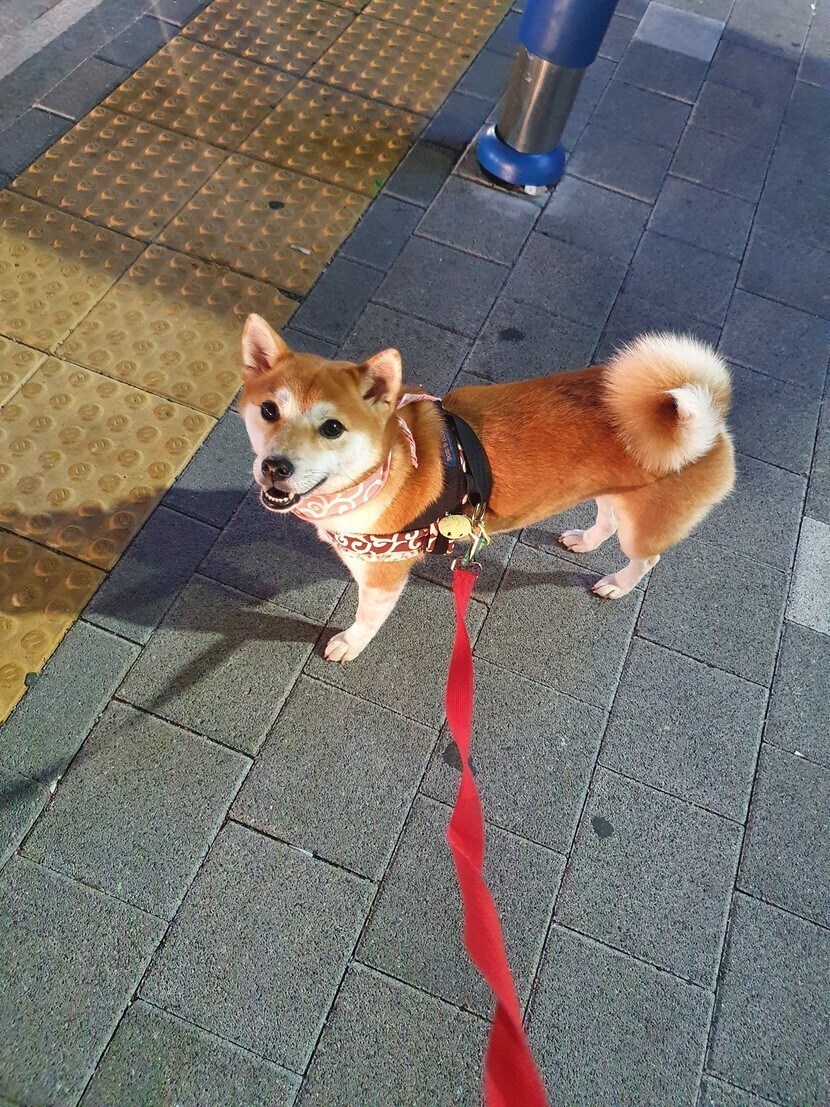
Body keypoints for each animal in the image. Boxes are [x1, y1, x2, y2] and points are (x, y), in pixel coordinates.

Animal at [239, 314, 735, 662]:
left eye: (333, 428)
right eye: (268, 410)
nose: (275, 467)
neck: (383, 467)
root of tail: (709, 425)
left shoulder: (383, 578)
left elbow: (365, 619)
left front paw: (349, 644)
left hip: (643, 524)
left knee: (645, 557)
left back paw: (615, 584)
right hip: (611, 491)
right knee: (608, 518)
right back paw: (585, 540)